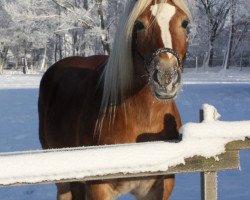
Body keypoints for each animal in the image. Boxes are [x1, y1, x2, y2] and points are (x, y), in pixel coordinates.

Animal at [38, 0, 191, 199]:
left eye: (185, 23)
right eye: (139, 25)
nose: (166, 76)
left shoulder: (159, 188)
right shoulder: (99, 189)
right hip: (62, 179)